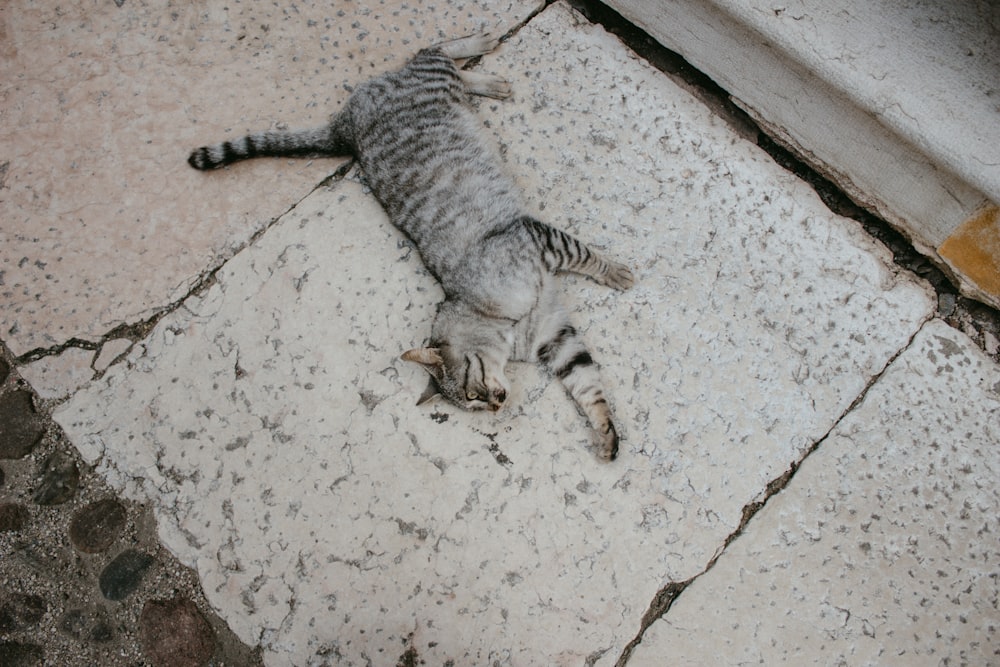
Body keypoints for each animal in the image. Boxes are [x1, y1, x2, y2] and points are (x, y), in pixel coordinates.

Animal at [188, 31, 632, 460]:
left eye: (470, 388)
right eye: (471, 401)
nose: (496, 404)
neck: (502, 323)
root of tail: (344, 126)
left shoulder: (535, 240)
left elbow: (587, 257)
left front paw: (616, 273)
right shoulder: (557, 340)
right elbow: (589, 388)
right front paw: (605, 434)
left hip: (432, 78)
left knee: (433, 48)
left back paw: (481, 54)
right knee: (436, 59)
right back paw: (488, 77)